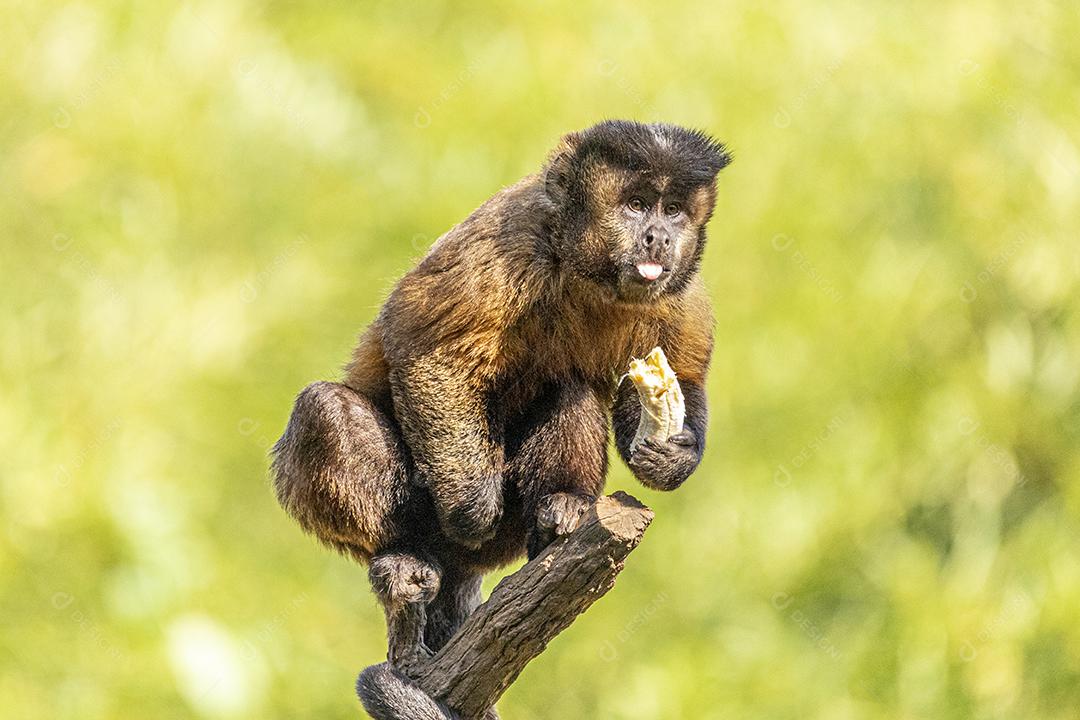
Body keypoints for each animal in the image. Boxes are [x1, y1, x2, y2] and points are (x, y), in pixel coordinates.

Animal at [272, 120, 734, 716]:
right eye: (635, 205)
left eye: (674, 210)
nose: (658, 237)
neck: (584, 273)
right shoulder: (505, 240)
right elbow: (429, 353)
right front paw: (473, 505)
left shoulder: (681, 290)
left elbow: (681, 378)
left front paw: (671, 456)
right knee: (323, 409)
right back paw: (402, 557)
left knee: (570, 387)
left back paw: (562, 508)